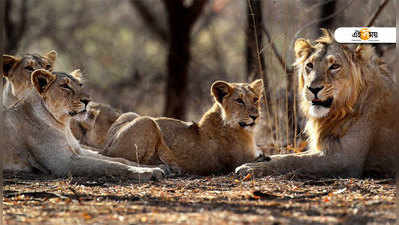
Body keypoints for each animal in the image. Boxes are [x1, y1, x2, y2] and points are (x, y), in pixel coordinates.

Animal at [103, 79, 266, 176]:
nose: (255, 116)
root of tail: (105, 147)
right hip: (147, 121)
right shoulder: (241, 160)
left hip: (131, 114)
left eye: (255, 99)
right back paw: (168, 168)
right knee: (137, 162)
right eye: (239, 100)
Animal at [236, 29, 399, 178]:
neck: (340, 111)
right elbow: (288, 155)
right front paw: (259, 160)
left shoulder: (346, 159)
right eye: (309, 65)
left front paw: (249, 168)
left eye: (334, 66)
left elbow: (293, 160)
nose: (313, 89)